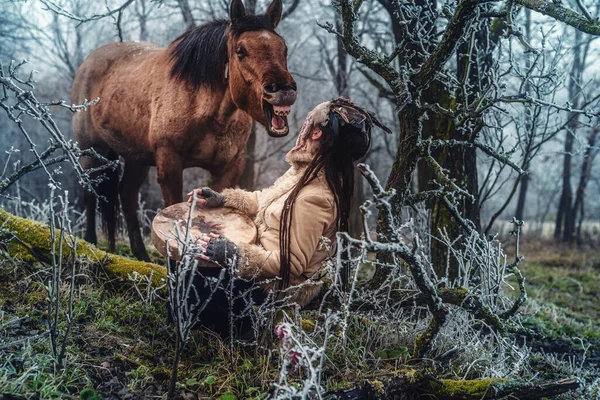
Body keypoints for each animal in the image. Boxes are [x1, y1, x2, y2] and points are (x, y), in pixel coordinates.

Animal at [71, 0, 296, 260]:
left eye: (284, 49)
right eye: (241, 51)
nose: (283, 90)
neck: (208, 110)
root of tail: (87, 63)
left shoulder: (229, 168)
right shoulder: (169, 163)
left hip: (136, 158)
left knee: (126, 194)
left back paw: (141, 255)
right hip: (92, 150)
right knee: (90, 193)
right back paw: (89, 242)